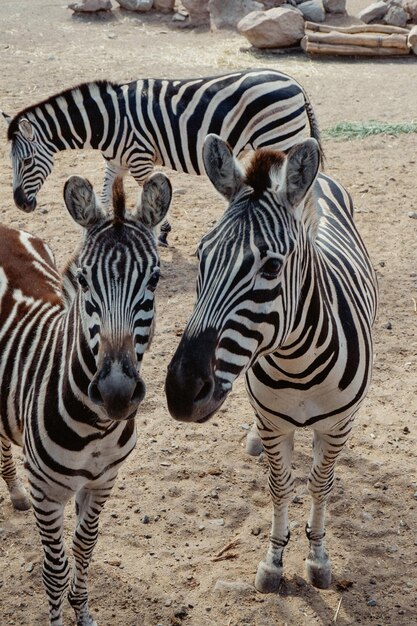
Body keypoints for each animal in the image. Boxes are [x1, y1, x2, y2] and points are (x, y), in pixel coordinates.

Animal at [0, 171, 171, 624]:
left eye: (154, 279)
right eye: (81, 279)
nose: (116, 393)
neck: (96, 428)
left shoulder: (103, 482)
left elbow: (84, 548)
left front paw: (83, 611)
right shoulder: (46, 492)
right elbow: (55, 568)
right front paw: (58, 617)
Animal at [3, 67, 320, 241]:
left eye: (27, 161)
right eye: (11, 162)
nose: (21, 205)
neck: (109, 120)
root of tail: (293, 81)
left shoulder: (139, 159)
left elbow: (147, 193)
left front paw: (161, 232)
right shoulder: (115, 162)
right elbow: (103, 197)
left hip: (280, 137)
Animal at [165, 134, 376, 592]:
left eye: (272, 266)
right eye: (201, 256)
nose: (182, 391)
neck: (297, 365)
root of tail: (320, 179)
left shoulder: (336, 427)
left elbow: (319, 485)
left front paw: (316, 556)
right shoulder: (273, 422)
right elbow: (280, 487)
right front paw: (275, 559)